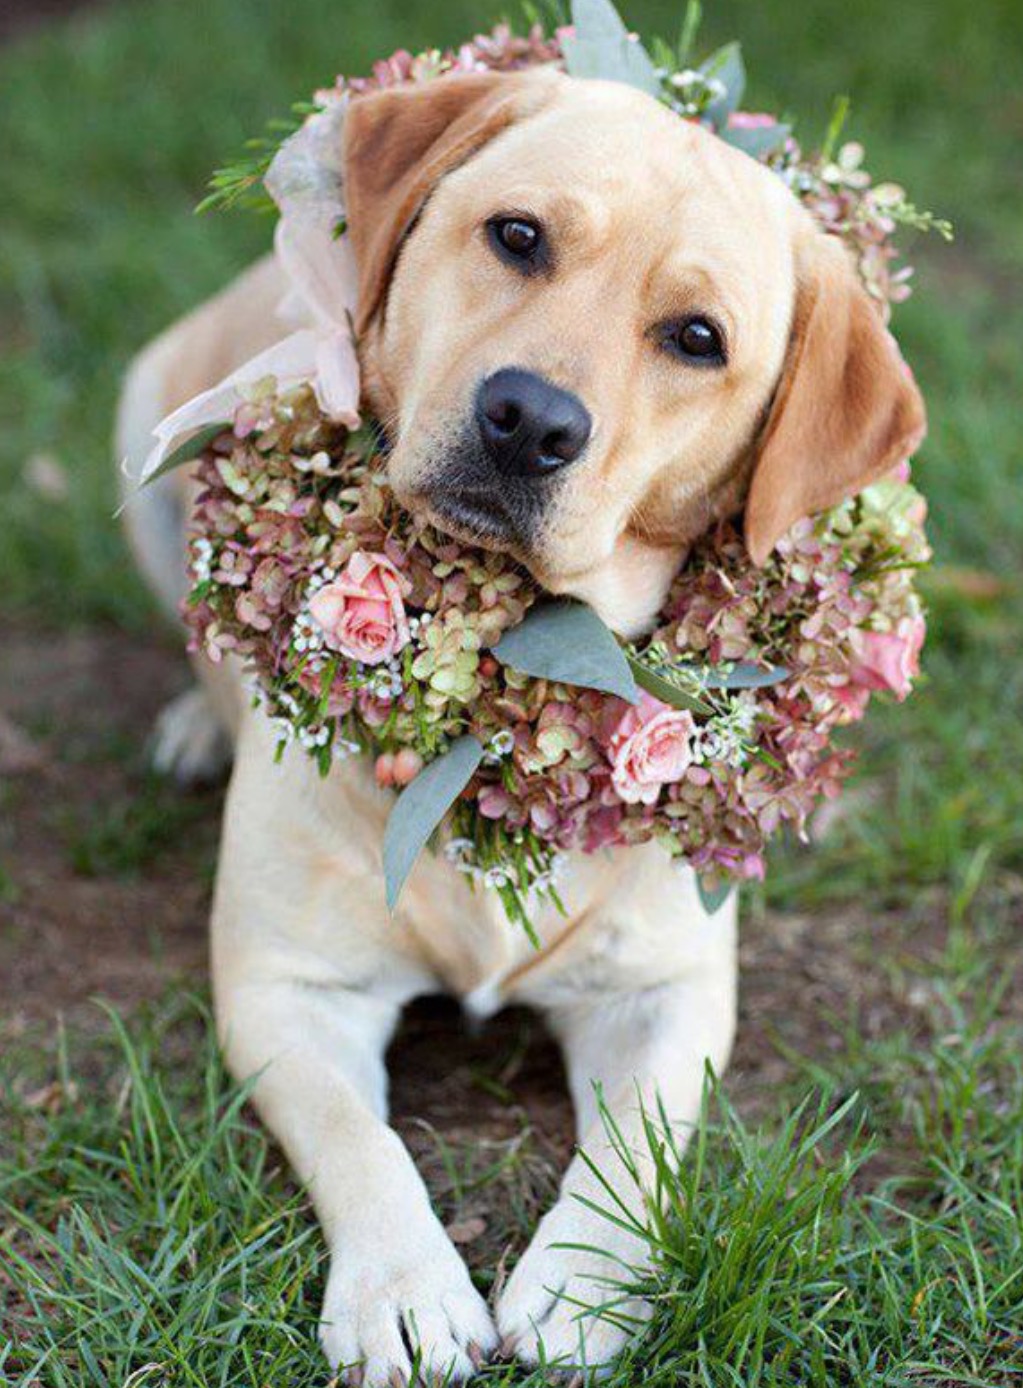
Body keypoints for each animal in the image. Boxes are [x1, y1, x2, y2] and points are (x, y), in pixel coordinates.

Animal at [115, 67, 921, 1388]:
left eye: (697, 338)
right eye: (518, 236)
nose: (530, 418)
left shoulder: (669, 989)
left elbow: (637, 1146)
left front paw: (582, 1282)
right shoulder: (287, 985)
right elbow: (361, 1136)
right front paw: (403, 1289)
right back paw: (194, 718)